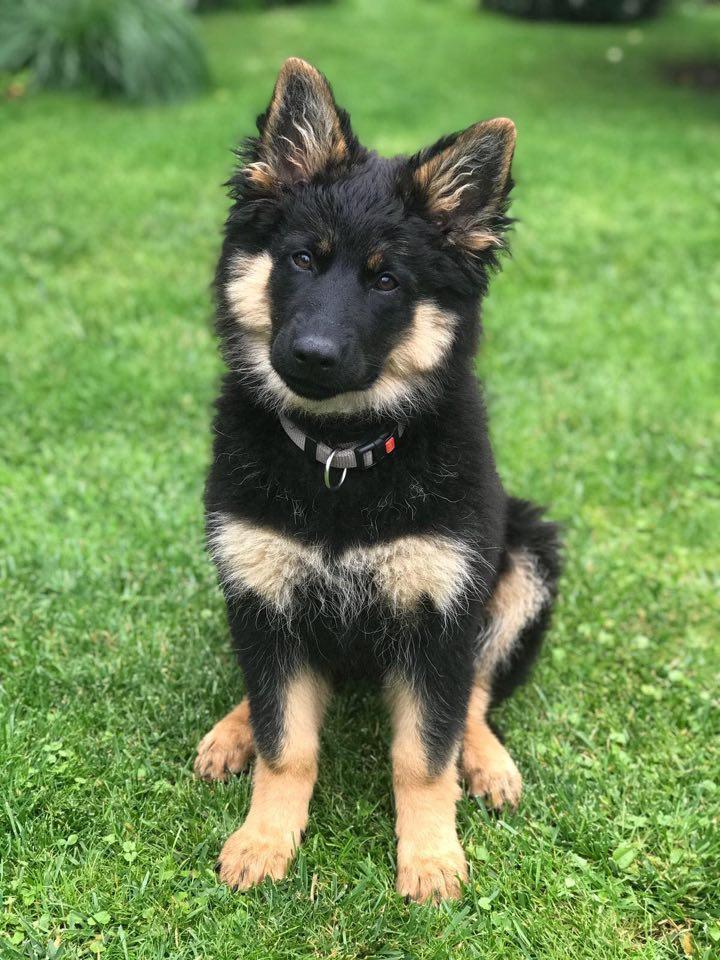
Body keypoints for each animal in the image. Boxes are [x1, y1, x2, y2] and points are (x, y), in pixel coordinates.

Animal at [194, 58, 561, 904]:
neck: (340, 453)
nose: (313, 355)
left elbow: (423, 754)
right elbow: (286, 743)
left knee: (476, 695)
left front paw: (430, 858)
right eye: (302, 258)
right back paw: (233, 727)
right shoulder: (268, 596)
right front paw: (266, 839)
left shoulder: (440, 613)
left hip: (526, 557)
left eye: (387, 280)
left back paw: (486, 760)